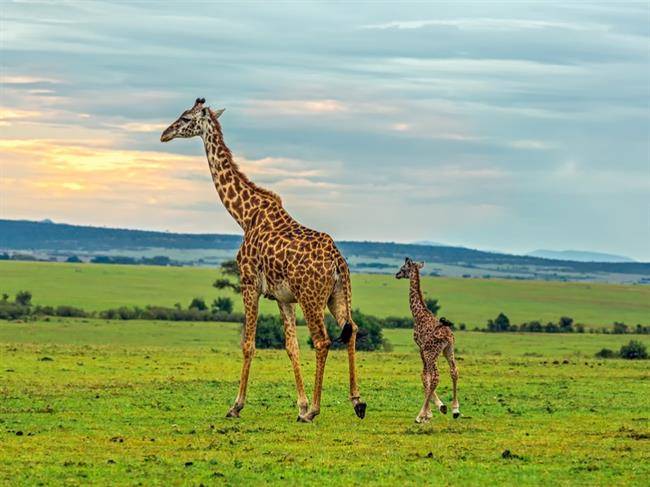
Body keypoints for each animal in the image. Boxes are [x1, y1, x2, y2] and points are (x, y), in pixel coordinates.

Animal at [160, 98, 368, 424]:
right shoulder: (283, 297)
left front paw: (236, 406)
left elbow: (248, 344)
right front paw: (300, 405)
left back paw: (317, 411)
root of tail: (338, 262)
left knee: (322, 340)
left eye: (184, 118)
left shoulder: (248, 284)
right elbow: (291, 347)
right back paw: (357, 402)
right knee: (352, 330)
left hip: (312, 298)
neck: (245, 215)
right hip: (336, 295)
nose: (164, 134)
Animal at [392, 260, 458, 424]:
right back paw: (455, 410)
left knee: (436, 377)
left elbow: (424, 376)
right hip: (448, 350)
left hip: (432, 353)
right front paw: (439, 408)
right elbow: (425, 376)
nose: (396, 274)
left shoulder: (422, 348)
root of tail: (448, 336)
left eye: (403, 268)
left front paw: (427, 413)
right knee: (454, 371)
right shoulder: (424, 350)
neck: (418, 313)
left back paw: (419, 415)